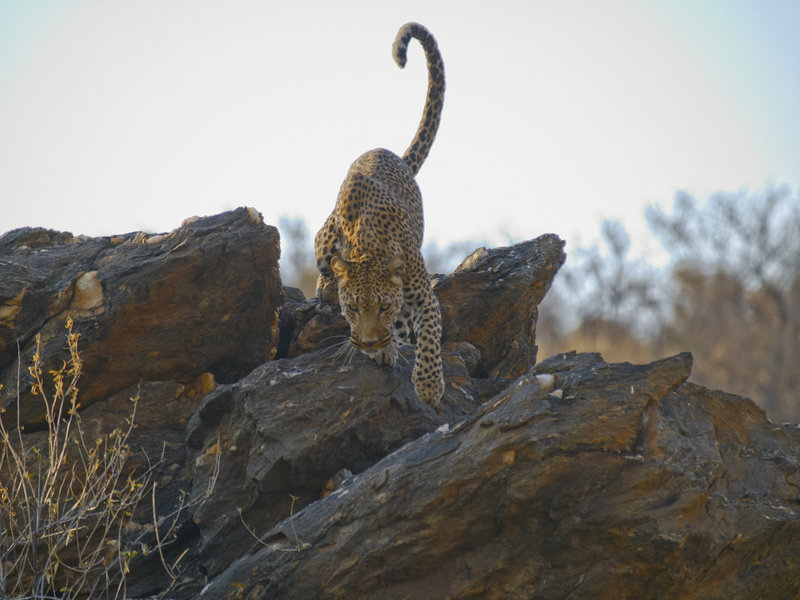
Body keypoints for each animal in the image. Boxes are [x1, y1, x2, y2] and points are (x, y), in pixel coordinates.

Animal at [314, 22, 446, 404]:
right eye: (354, 309)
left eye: (383, 307)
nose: (371, 342)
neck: (370, 248)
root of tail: (390, 153)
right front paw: (382, 350)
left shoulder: (426, 300)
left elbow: (429, 337)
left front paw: (428, 385)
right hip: (323, 241)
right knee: (323, 263)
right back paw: (327, 287)